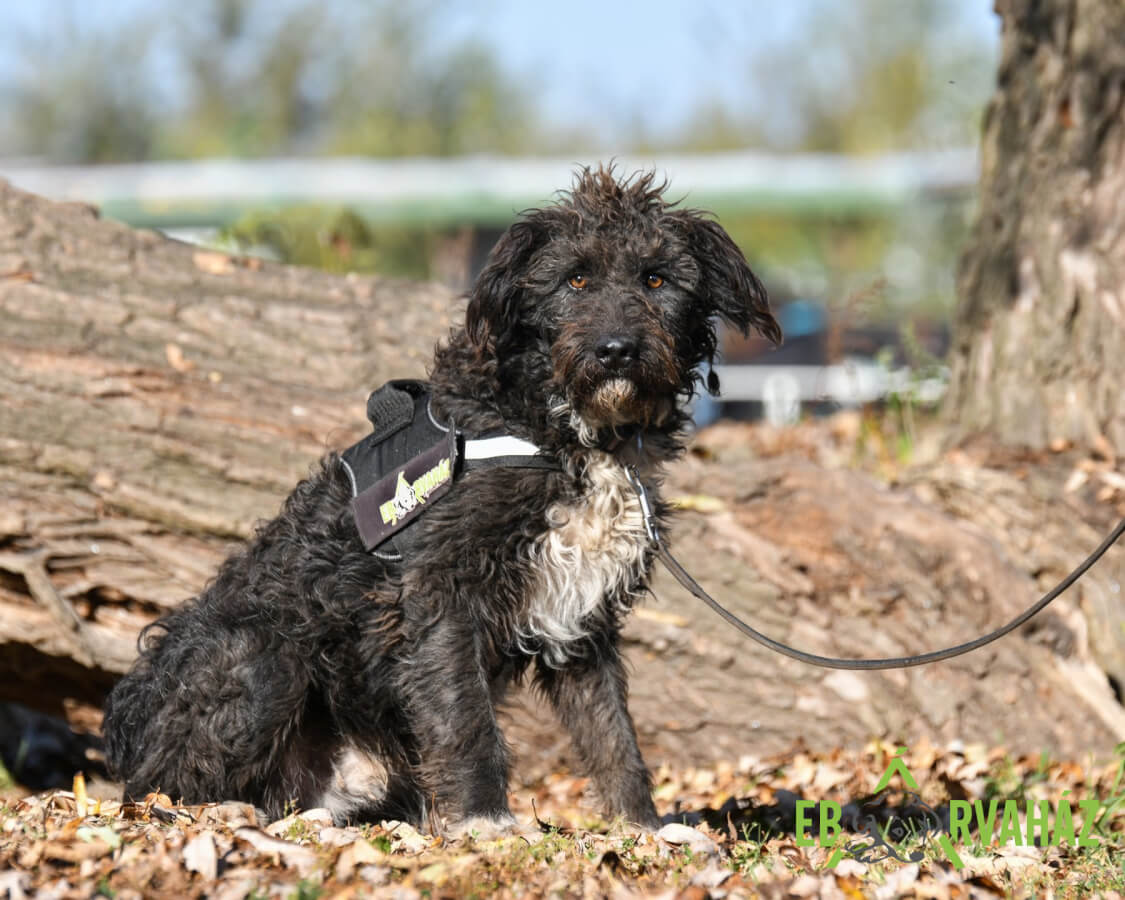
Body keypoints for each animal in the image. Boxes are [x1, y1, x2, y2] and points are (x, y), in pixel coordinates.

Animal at [102, 167, 781, 834]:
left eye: (657, 278)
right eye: (576, 278)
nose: (615, 349)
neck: (559, 430)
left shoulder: (580, 617)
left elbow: (613, 736)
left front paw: (643, 828)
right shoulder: (441, 594)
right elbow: (466, 718)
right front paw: (484, 819)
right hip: (258, 656)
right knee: (159, 789)